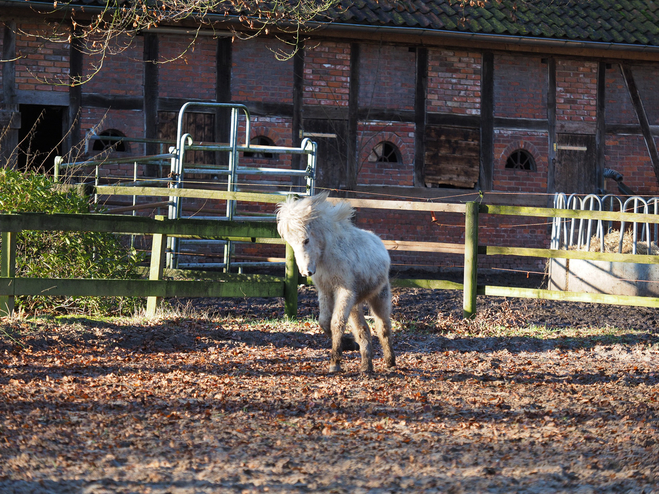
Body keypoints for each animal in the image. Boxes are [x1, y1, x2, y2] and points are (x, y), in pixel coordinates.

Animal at [276, 193, 394, 374]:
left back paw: (389, 361)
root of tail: (380, 243)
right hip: (355, 305)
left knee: (383, 327)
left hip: (379, 297)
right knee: (363, 330)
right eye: (291, 243)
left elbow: (336, 323)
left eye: (306, 240)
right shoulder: (326, 292)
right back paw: (366, 366)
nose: (305, 272)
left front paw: (335, 362)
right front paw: (348, 345)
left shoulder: (344, 292)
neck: (328, 254)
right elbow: (325, 322)